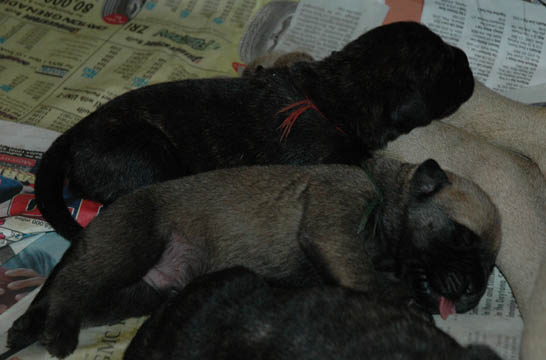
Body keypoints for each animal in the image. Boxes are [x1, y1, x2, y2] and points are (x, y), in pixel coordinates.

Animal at [8, 159, 500, 358]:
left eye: (491, 266)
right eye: (460, 237)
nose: (474, 290)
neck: (386, 197)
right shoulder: (336, 232)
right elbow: (366, 282)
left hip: (138, 294)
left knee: (70, 291)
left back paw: (28, 328)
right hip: (130, 244)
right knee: (73, 286)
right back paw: (58, 331)